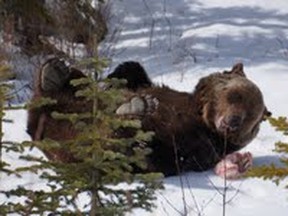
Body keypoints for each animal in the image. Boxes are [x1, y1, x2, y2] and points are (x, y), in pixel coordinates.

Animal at [27, 58, 270, 178]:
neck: (200, 114)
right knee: (67, 91)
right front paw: (113, 80)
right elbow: (132, 73)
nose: (231, 122)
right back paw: (53, 73)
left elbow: (183, 154)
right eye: (234, 95)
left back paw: (131, 113)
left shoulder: (203, 144)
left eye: (250, 116)